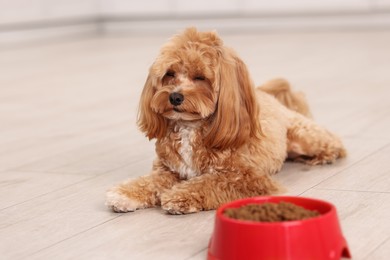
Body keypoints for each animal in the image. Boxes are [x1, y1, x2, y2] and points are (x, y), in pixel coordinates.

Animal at [105, 27, 346, 214]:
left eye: (200, 77)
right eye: (170, 74)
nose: (174, 97)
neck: (190, 126)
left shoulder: (250, 179)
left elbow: (210, 182)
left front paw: (180, 195)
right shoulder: (168, 170)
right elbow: (149, 181)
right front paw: (125, 193)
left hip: (304, 136)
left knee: (335, 143)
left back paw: (325, 156)